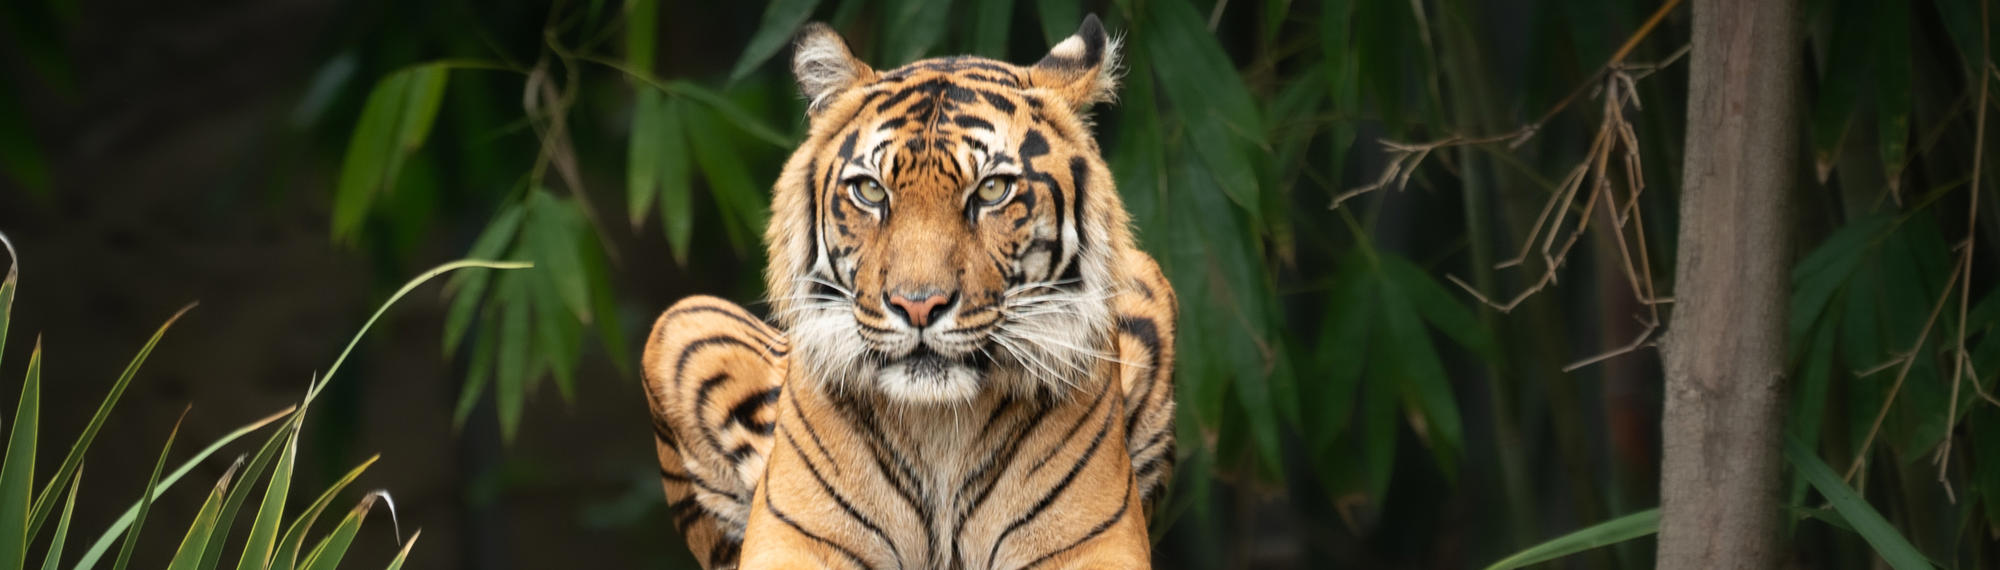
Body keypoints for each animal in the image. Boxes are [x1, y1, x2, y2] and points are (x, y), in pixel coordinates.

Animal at [640, 15, 1168, 564]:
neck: (939, 430)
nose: (918, 307)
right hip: (683, 321)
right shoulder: (792, 540)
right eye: (871, 191)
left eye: (992, 190)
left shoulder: (1093, 544)